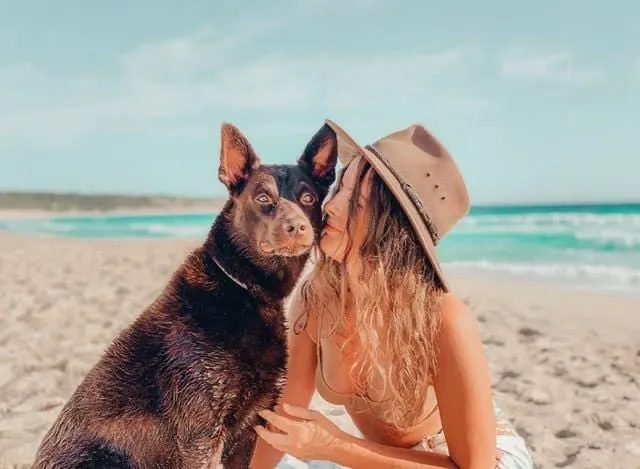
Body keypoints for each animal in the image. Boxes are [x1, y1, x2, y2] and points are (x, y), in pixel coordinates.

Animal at [32, 121, 340, 468]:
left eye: (308, 198)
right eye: (263, 197)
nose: (297, 227)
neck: (243, 289)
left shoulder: (251, 430)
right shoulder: (201, 435)